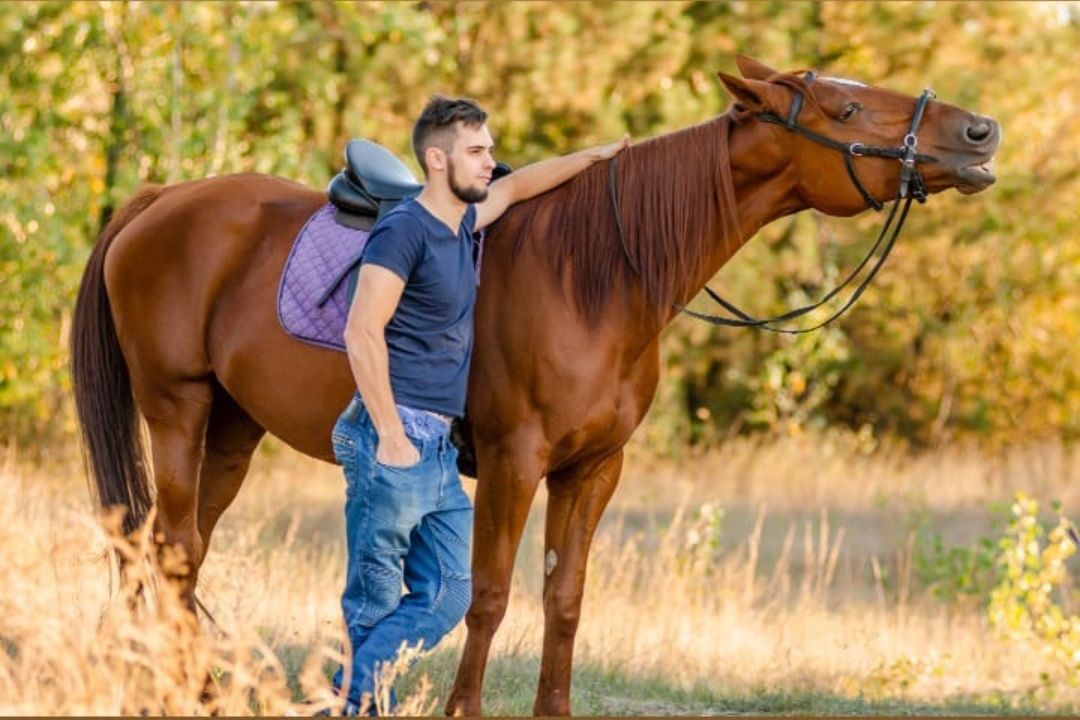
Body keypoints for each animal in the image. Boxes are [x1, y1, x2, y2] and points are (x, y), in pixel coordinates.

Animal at [71, 57, 997, 716]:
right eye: (845, 111)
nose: (980, 131)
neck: (595, 275)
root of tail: (160, 200)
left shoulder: (592, 471)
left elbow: (564, 599)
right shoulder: (514, 463)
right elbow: (488, 597)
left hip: (233, 428)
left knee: (172, 553)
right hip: (178, 410)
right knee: (171, 549)